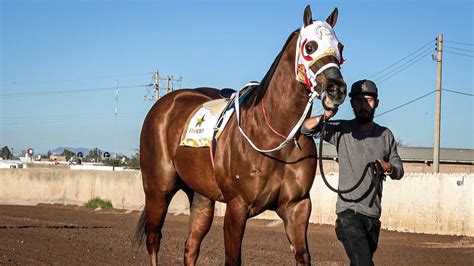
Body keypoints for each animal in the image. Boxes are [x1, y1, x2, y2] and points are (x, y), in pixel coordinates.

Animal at [135, 4, 346, 266]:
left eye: (340, 48)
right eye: (310, 47)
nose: (336, 89)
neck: (276, 138)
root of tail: (165, 103)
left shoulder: (297, 207)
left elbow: (303, 256)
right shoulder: (237, 207)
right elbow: (233, 258)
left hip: (202, 197)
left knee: (191, 247)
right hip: (158, 189)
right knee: (154, 238)